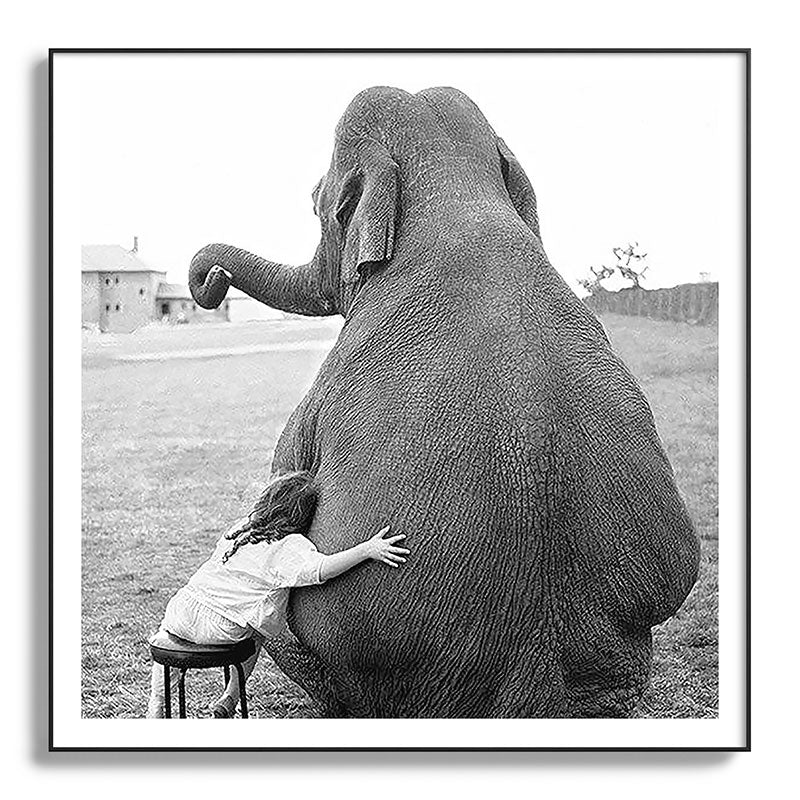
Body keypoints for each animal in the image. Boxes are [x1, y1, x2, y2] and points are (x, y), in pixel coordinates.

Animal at [188, 86, 700, 718]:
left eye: (314, 200)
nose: (209, 279)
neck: (455, 192)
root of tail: (536, 691)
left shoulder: (321, 391)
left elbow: (285, 478)